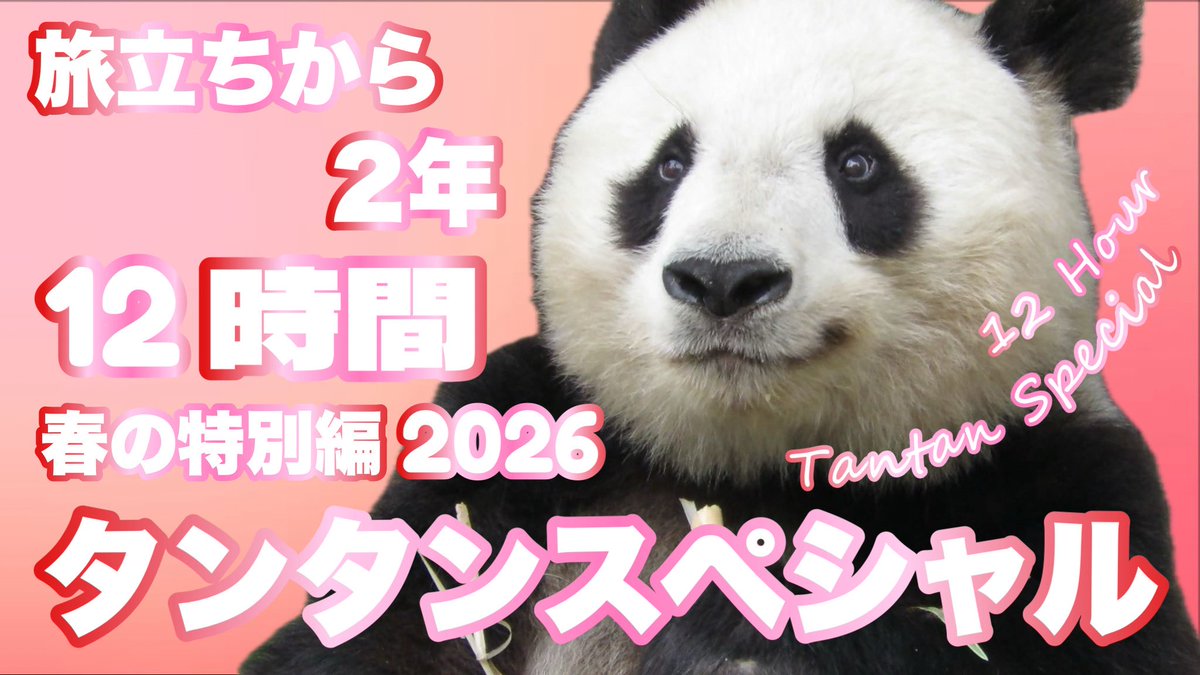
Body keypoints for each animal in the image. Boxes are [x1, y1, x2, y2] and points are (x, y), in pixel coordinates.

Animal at [246, 0, 1200, 672]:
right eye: (671, 164)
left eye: (858, 164)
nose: (722, 279)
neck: (742, 459)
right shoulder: (519, 430)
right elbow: (372, 625)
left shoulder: (1059, 473)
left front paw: (733, 628)